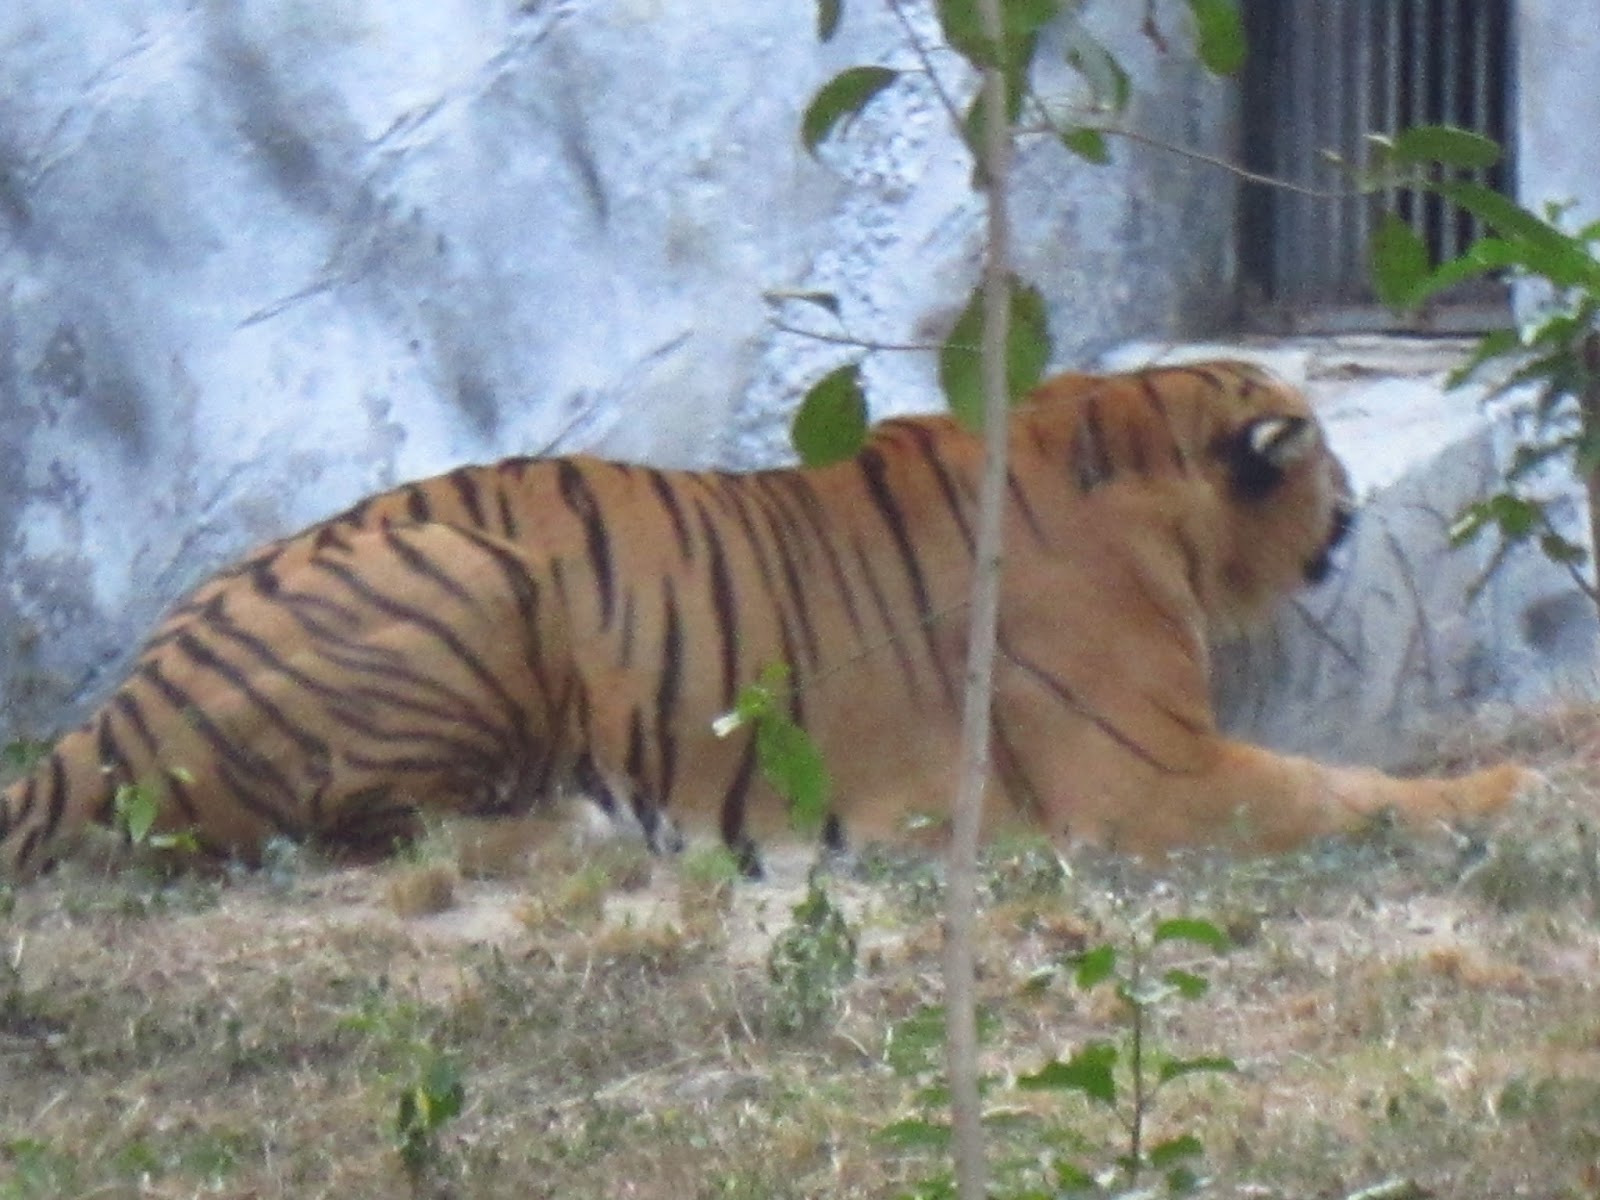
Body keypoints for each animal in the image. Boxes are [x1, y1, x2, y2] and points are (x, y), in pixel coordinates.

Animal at [0, 360, 1529, 883]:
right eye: (1324, 452)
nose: (1349, 503)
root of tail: (105, 718)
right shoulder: (1149, 780)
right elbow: (1340, 791)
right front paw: (1508, 792)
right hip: (471, 578)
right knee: (359, 830)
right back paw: (586, 827)